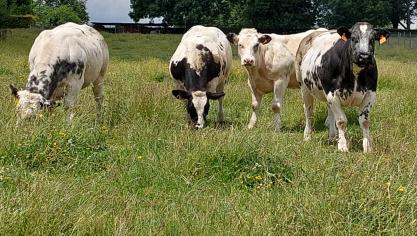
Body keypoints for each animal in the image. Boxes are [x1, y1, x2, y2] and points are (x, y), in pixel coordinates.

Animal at [294, 22, 388, 153]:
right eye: (353, 38)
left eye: (373, 39)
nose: (364, 56)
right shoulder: (332, 93)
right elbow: (341, 121)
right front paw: (343, 146)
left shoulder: (370, 94)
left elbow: (364, 122)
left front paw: (367, 147)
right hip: (304, 87)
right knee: (308, 111)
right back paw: (307, 135)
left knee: (330, 111)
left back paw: (333, 136)